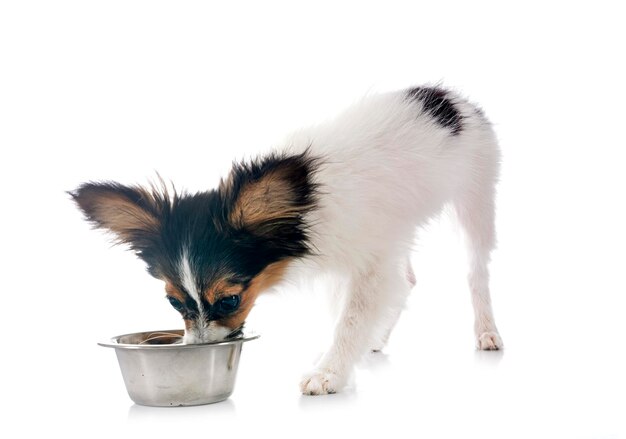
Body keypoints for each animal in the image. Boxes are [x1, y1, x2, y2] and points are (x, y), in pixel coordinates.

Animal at [70, 85, 502, 396]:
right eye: (175, 303)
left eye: (229, 300)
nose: (197, 347)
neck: (300, 208)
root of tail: (452, 100)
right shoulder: (353, 262)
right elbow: (347, 314)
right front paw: (341, 359)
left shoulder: (370, 263)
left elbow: (351, 319)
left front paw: (330, 371)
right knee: (408, 280)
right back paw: (378, 339)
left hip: (476, 199)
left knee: (475, 271)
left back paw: (487, 332)